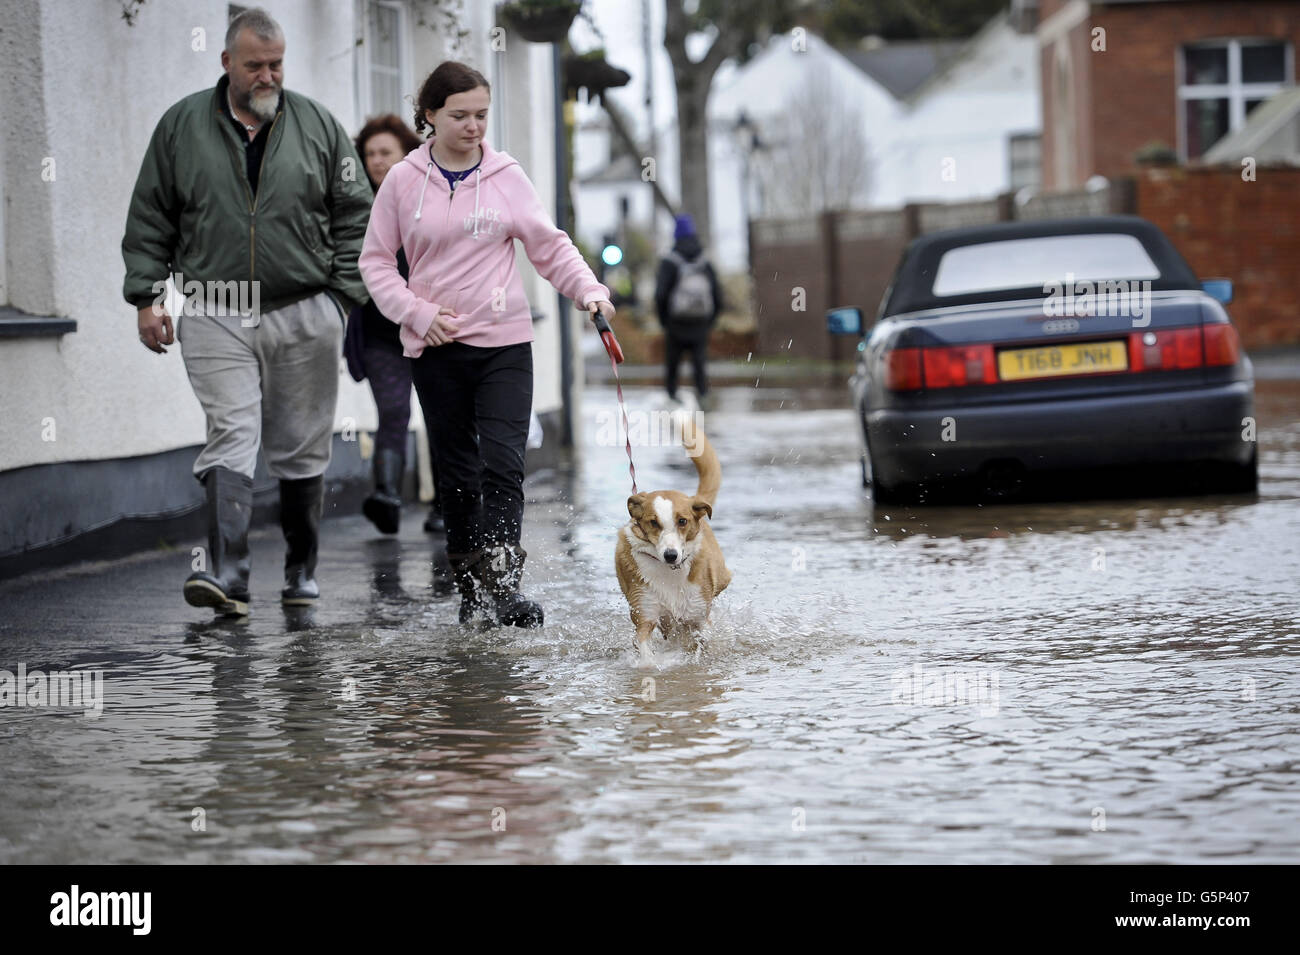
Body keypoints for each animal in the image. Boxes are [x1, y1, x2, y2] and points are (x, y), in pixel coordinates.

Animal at [611, 407, 728, 665]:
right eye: (653, 522)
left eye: (682, 521)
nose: (671, 555)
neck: (671, 573)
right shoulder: (644, 613)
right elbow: (644, 649)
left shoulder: (698, 617)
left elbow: (701, 640)